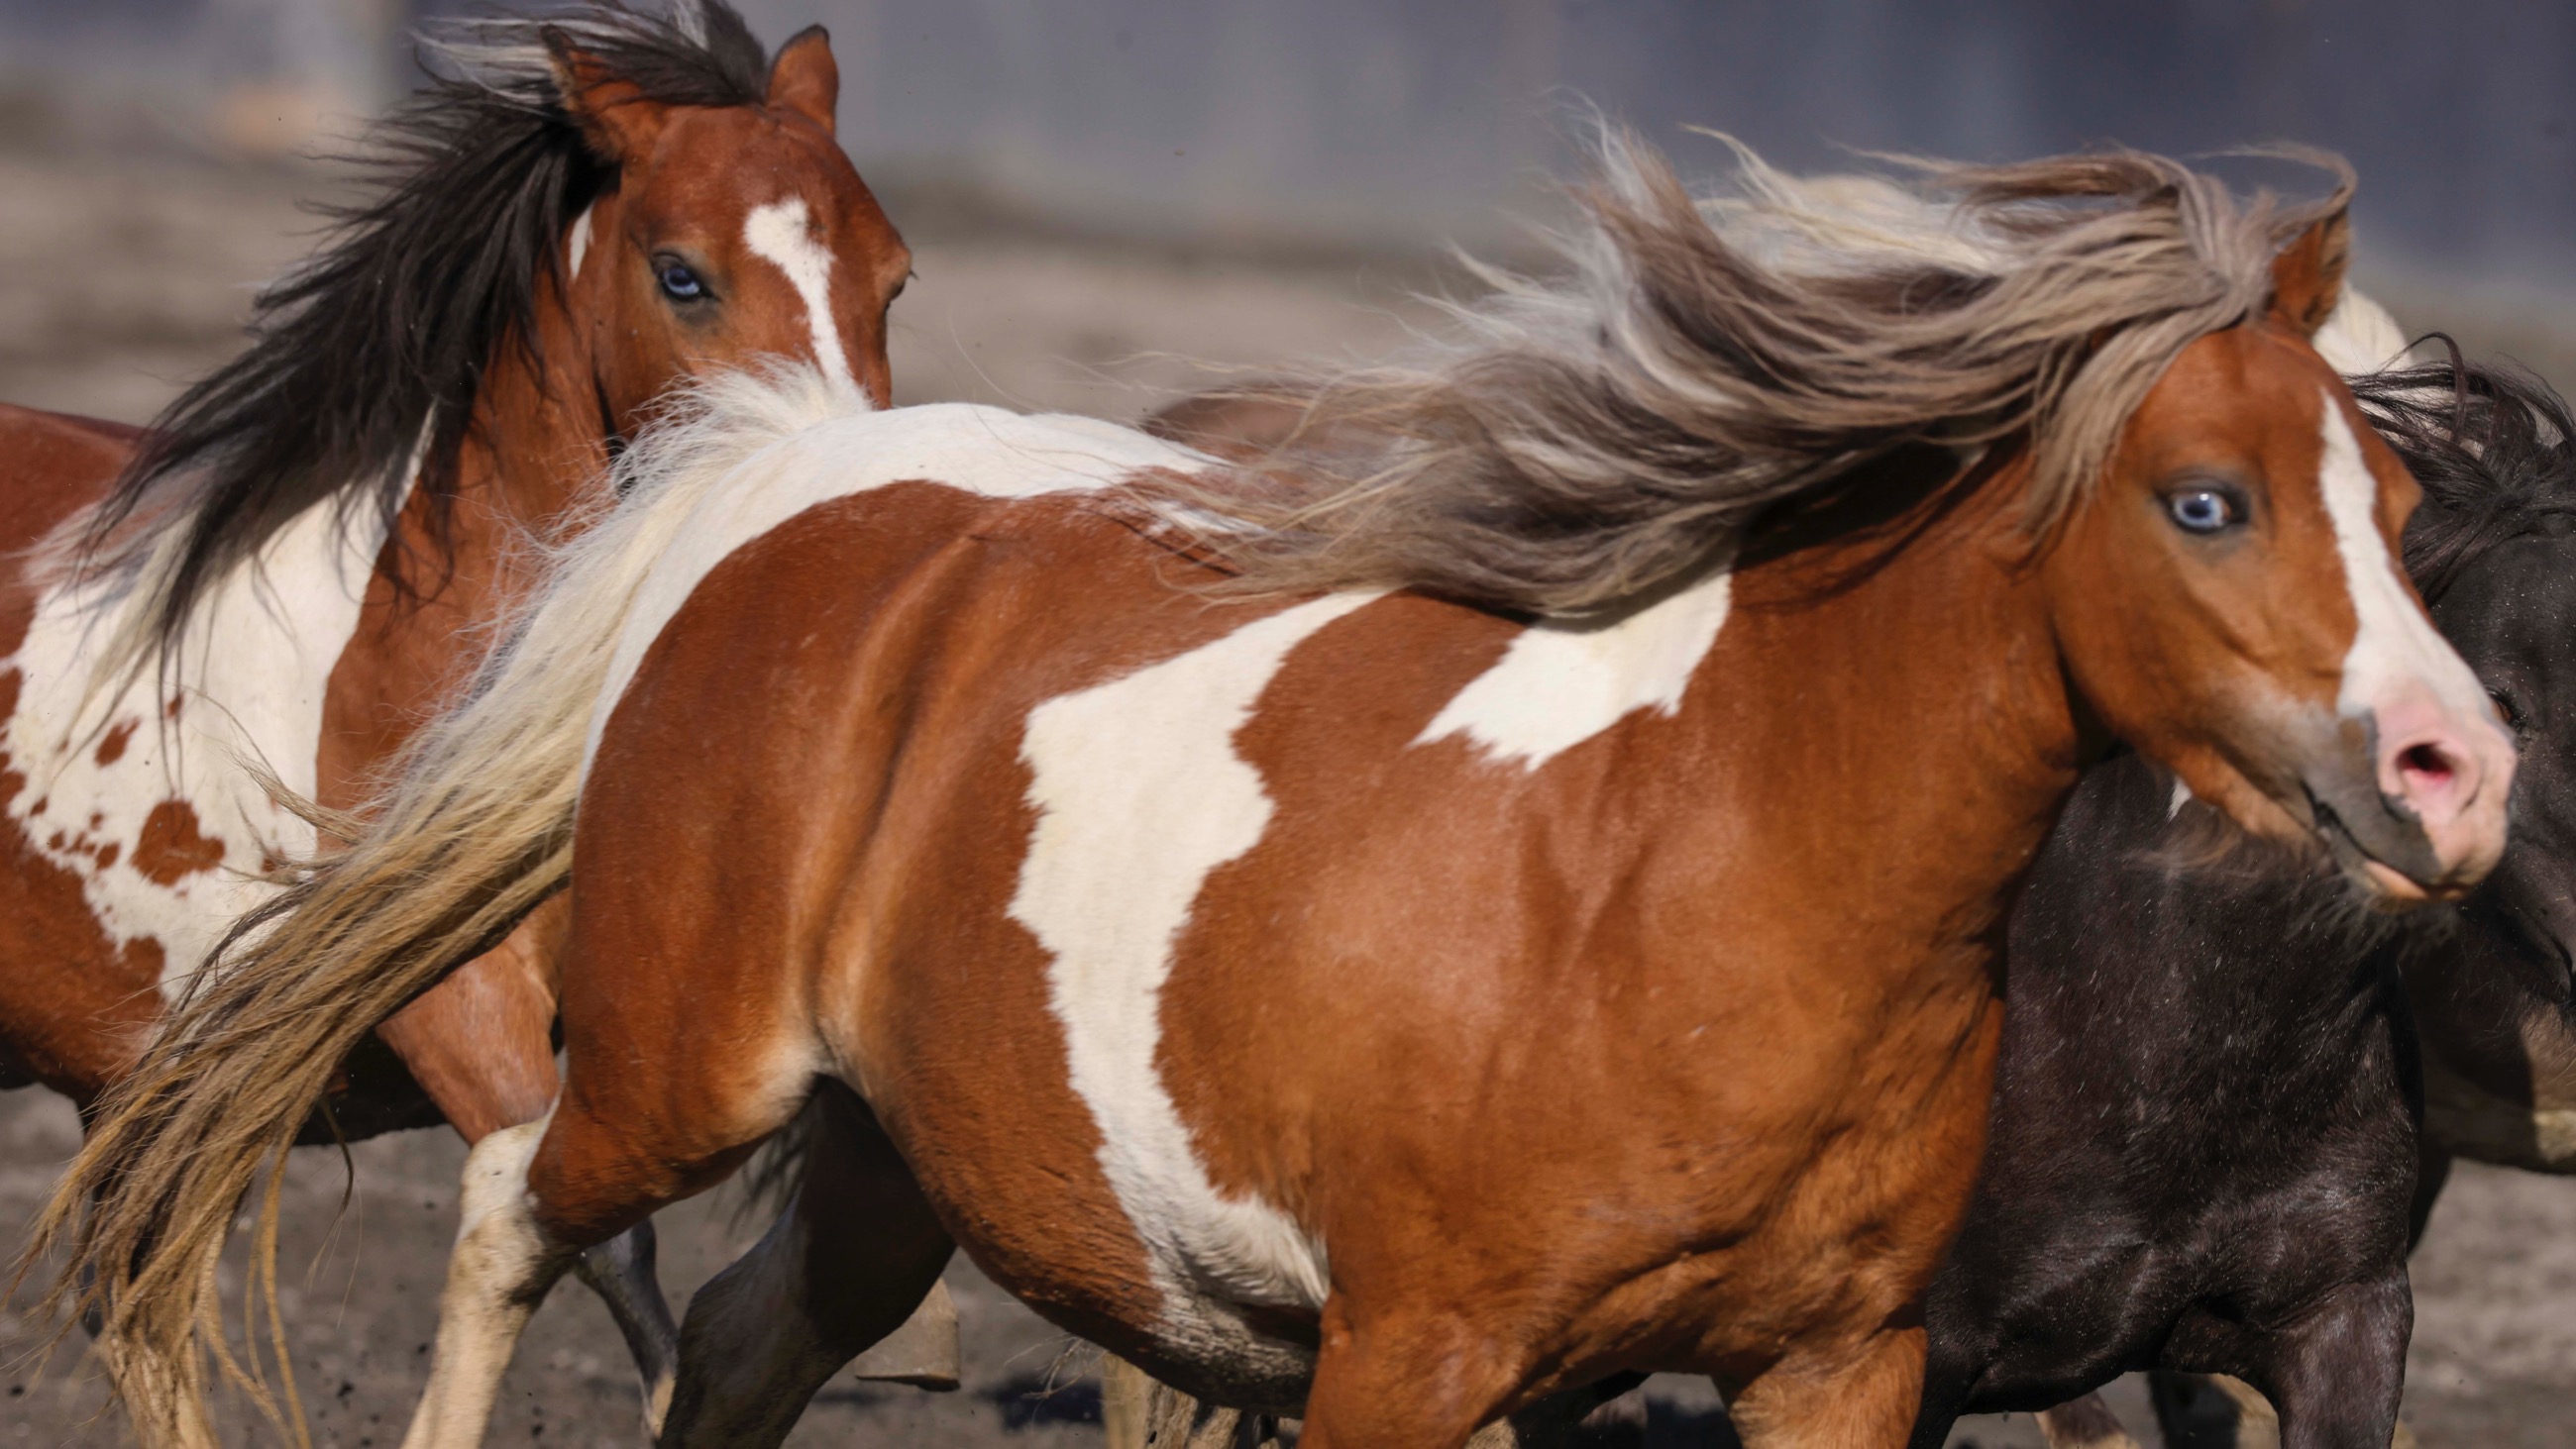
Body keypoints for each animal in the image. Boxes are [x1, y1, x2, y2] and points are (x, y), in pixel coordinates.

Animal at [43, 137, 2515, 1449]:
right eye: (2204, 500)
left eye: (2402, 498)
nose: (2456, 767)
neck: (1687, 873)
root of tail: (803, 495)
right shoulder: (1411, 1353)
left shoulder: (1836, 1360)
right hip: (681, 1059)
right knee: (509, 1214)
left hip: (895, 1151)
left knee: (743, 1337)